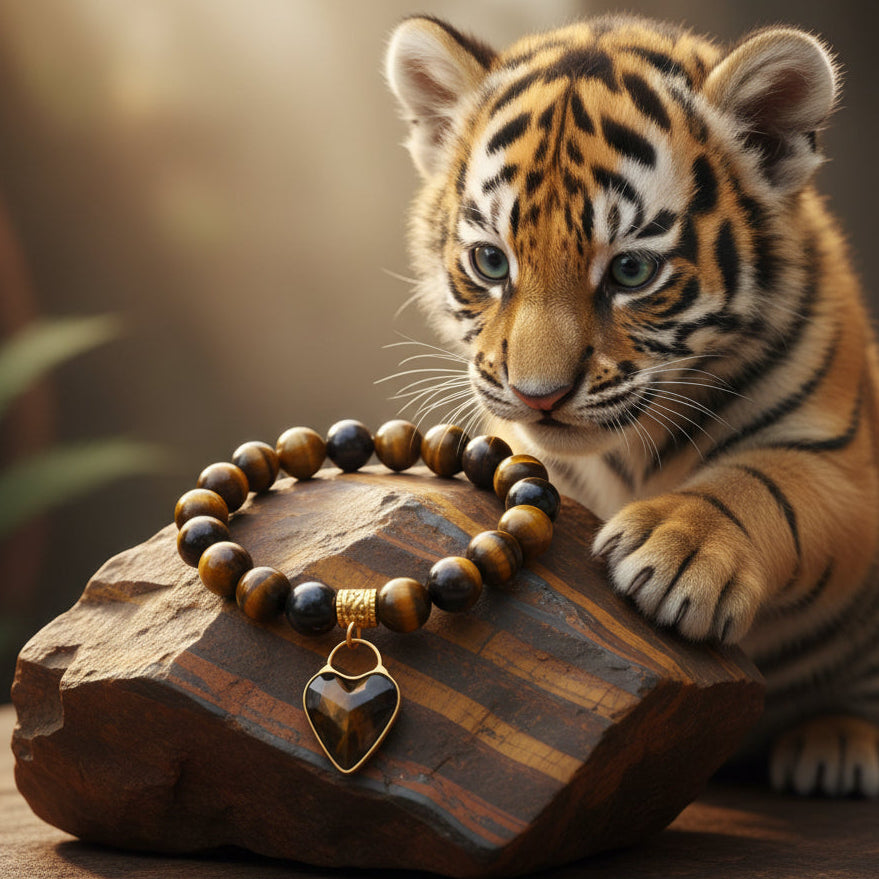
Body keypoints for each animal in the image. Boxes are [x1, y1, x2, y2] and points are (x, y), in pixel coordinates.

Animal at [384, 14, 879, 797]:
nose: (538, 395)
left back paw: (834, 743)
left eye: (632, 270)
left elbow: (766, 482)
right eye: (491, 262)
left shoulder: (841, 465)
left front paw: (679, 546)